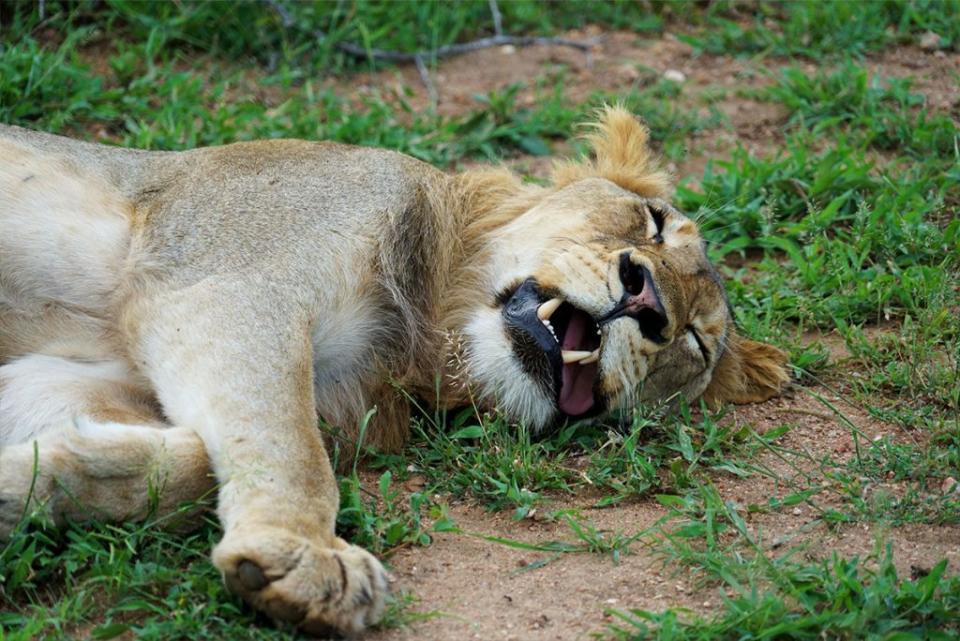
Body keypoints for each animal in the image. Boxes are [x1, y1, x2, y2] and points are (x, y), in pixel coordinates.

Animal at [0, 107, 788, 632]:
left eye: (696, 343)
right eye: (651, 223)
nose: (647, 300)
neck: (425, 335)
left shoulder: (64, 381)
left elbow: (199, 461)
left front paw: (28, 486)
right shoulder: (227, 280)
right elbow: (295, 447)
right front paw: (306, 555)